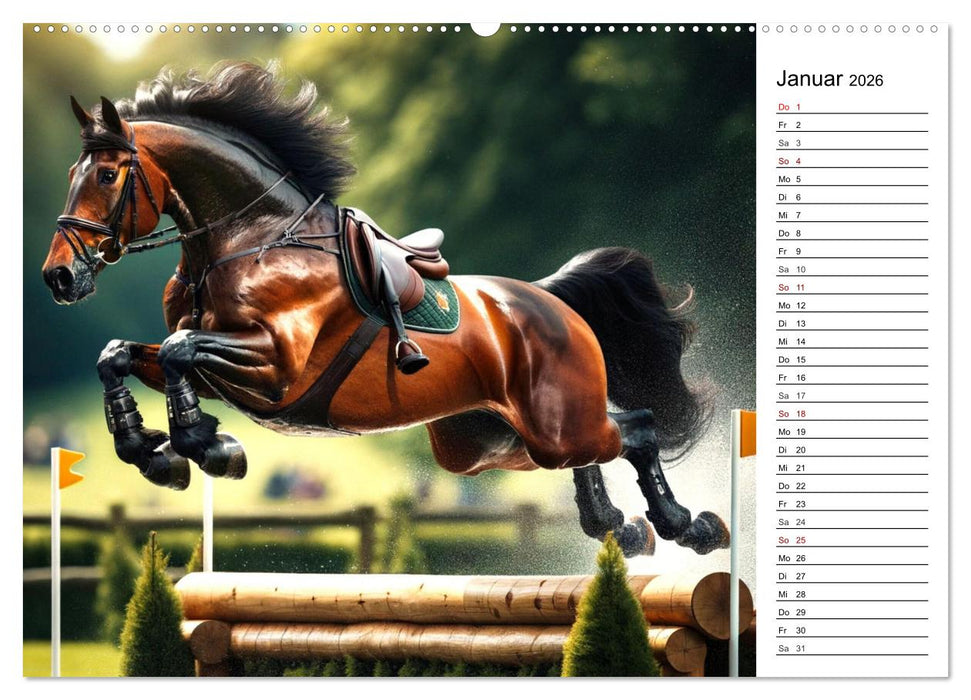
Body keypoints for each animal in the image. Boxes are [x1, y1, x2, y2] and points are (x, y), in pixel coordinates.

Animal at [40, 62, 729, 557]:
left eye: (106, 175)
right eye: (72, 171)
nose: (58, 277)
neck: (245, 239)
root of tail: (551, 298)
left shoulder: (275, 366)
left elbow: (181, 351)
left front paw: (207, 446)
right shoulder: (217, 365)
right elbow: (119, 356)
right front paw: (154, 452)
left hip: (553, 424)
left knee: (637, 428)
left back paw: (686, 526)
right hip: (491, 439)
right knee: (597, 449)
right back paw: (618, 527)